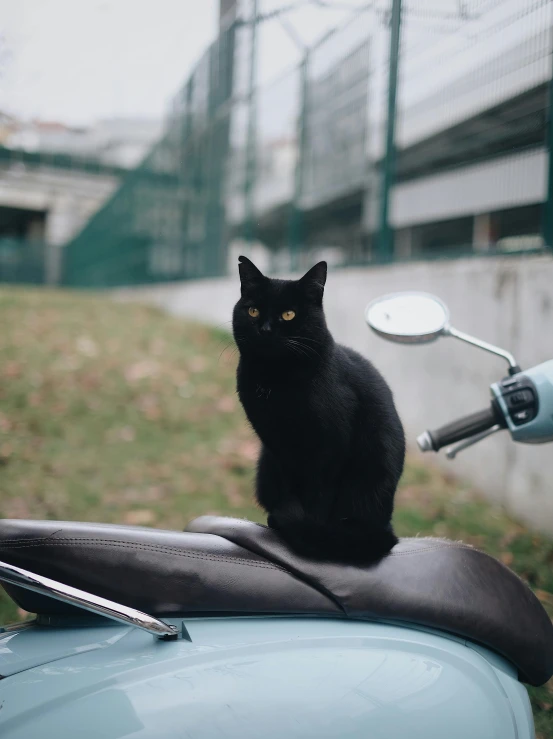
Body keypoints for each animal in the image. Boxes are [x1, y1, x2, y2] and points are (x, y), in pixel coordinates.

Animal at [231, 258, 404, 564]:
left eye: (288, 314)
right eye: (253, 311)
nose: (265, 330)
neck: (275, 382)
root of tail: (386, 528)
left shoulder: (329, 450)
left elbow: (318, 497)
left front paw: (310, 532)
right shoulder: (278, 449)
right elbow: (291, 487)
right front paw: (285, 521)